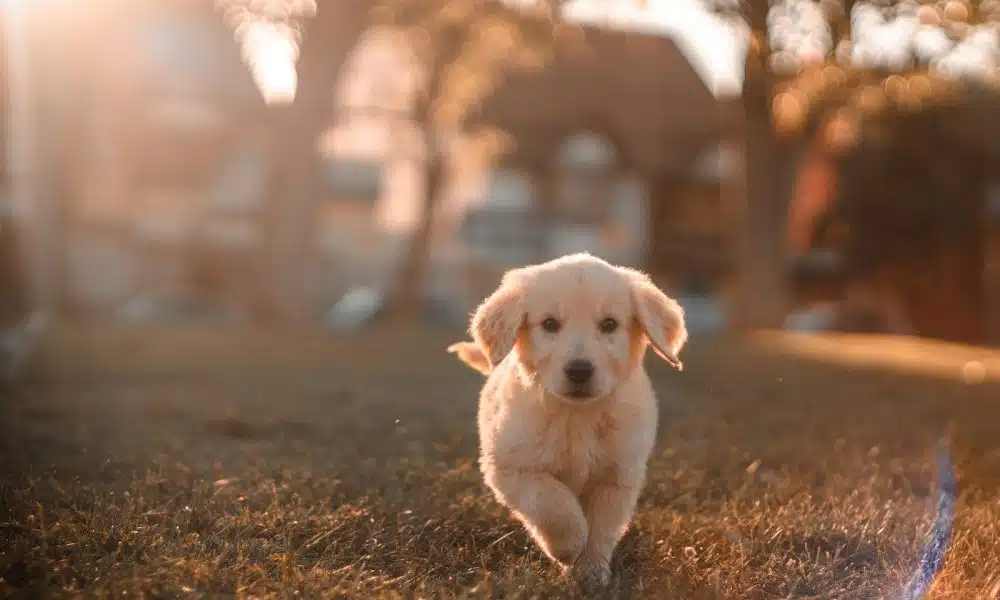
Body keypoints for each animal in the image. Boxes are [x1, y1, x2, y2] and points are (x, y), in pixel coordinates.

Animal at [468, 252, 688, 592]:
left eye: (609, 324)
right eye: (549, 324)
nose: (579, 371)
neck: (577, 415)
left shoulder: (617, 477)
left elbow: (601, 529)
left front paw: (592, 574)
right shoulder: (510, 467)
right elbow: (551, 501)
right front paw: (568, 546)